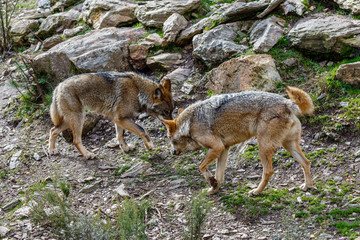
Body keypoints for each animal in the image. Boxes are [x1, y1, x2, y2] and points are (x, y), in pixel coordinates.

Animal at [162, 86, 314, 195]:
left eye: (169, 139)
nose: (172, 153)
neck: (190, 122)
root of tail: (287, 102)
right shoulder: (224, 149)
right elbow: (219, 175)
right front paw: (214, 188)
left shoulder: (216, 147)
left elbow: (201, 167)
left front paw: (211, 181)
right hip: (288, 145)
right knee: (306, 162)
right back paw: (307, 186)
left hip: (263, 148)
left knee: (269, 171)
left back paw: (256, 191)